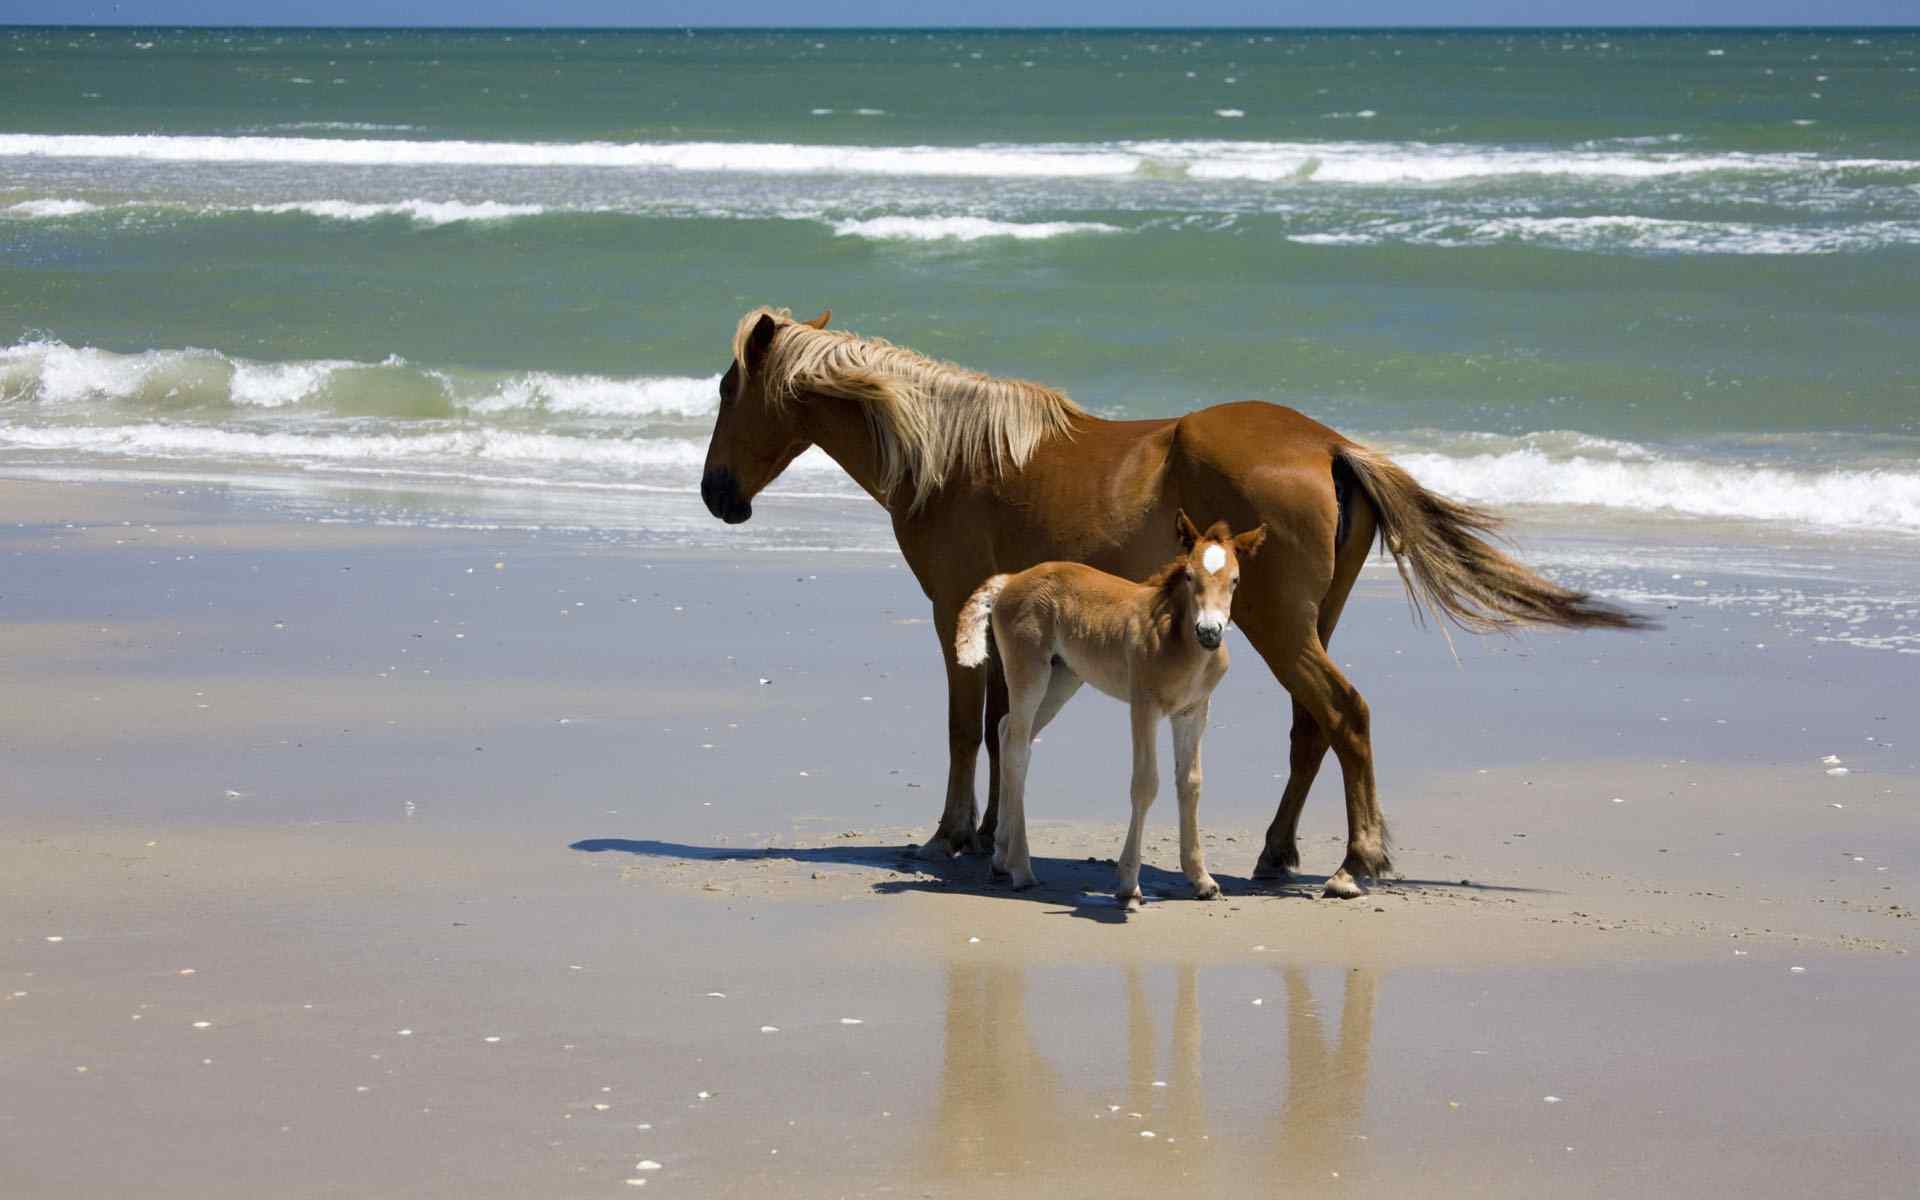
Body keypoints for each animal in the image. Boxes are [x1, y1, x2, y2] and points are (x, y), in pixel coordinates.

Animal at [698, 303, 1643, 894]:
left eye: (725, 389)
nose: (717, 495)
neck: (956, 455)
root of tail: (1330, 445)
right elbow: (1007, 729)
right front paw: (998, 837)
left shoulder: (951, 610)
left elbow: (970, 728)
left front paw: (952, 835)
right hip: (1307, 626)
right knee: (1314, 729)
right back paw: (1277, 855)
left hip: (1277, 627)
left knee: (1346, 715)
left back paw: (1354, 863)